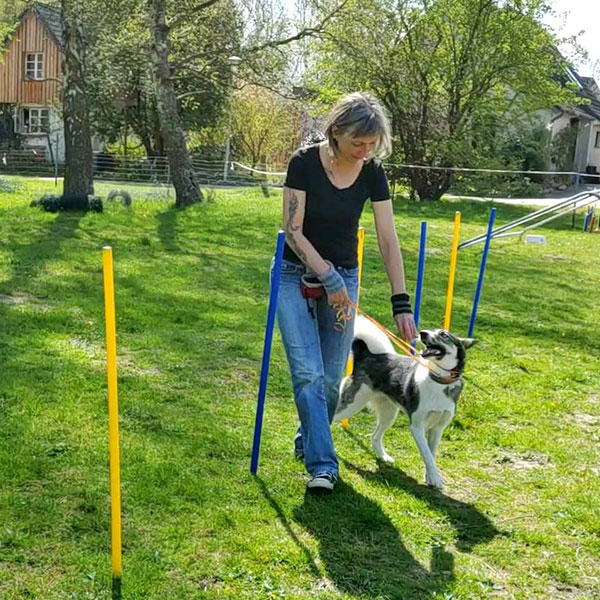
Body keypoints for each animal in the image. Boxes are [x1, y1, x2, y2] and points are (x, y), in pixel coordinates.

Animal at [332, 316, 478, 490]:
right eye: (431, 331)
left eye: (443, 334)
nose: (422, 333)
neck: (438, 380)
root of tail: (367, 354)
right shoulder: (417, 427)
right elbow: (427, 455)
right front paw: (435, 478)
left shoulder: (438, 429)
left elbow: (432, 454)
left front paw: (430, 477)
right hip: (352, 405)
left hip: (389, 414)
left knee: (375, 436)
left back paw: (383, 456)